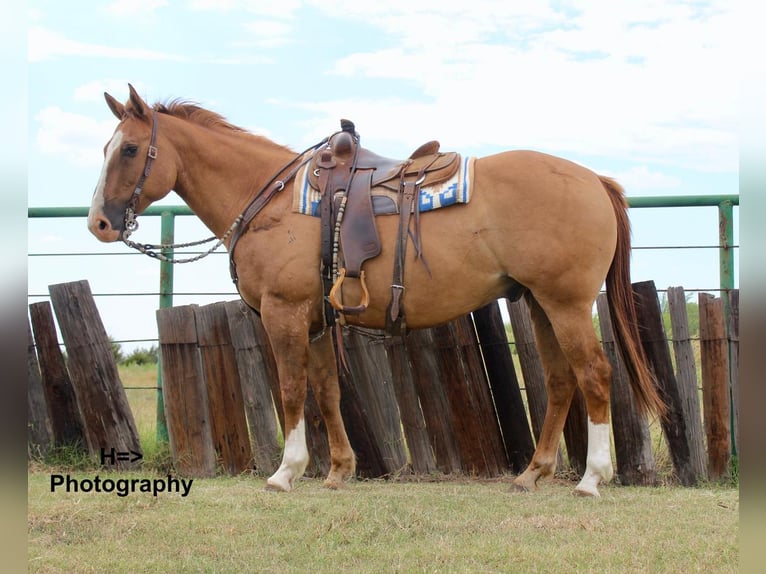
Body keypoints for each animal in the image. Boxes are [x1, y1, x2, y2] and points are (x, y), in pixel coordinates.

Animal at [88, 83, 664, 498]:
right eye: (106, 147)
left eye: (131, 149)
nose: (99, 223)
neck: (271, 199)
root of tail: (594, 181)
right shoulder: (315, 321)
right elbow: (326, 390)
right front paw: (338, 469)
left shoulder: (283, 313)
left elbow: (292, 389)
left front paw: (285, 471)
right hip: (542, 304)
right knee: (562, 380)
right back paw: (533, 473)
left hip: (566, 304)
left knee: (594, 374)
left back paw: (591, 478)